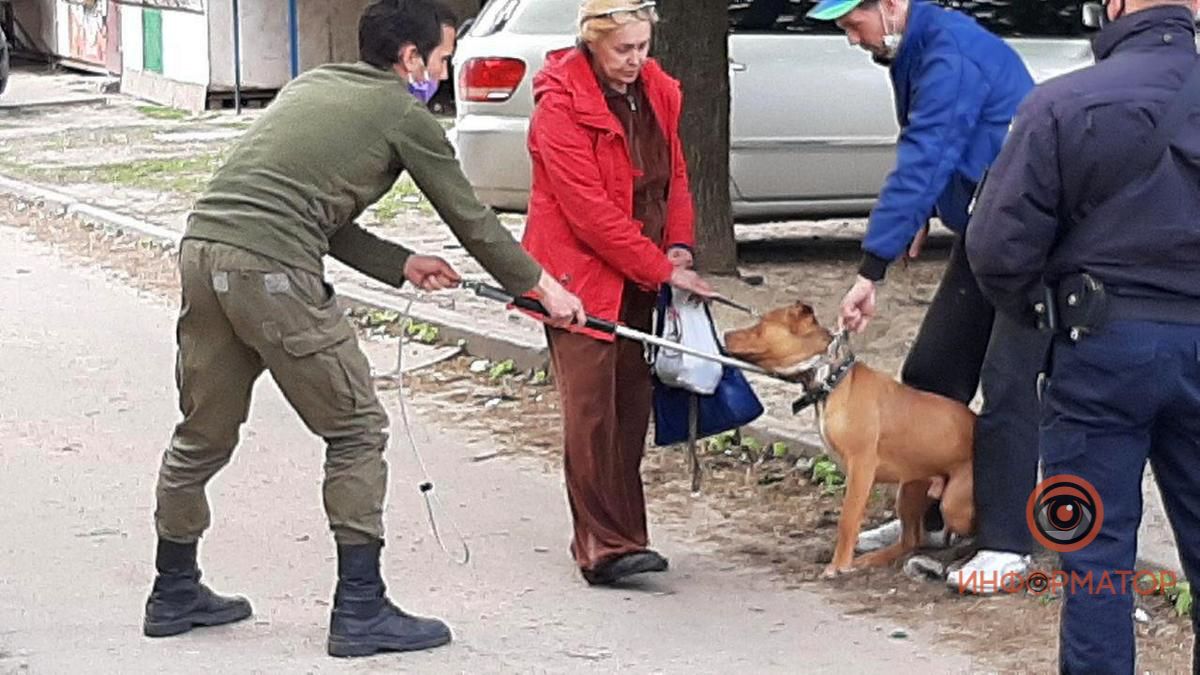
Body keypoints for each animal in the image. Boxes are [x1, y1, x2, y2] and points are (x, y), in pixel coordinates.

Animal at [720, 302, 974, 576]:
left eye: (761, 324)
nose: (725, 334)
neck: (832, 379)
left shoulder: (861, 468)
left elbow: (847, 520)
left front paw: (838, 565)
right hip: (911, 487)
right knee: (911, 538)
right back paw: (874, 559)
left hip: (954, 503)